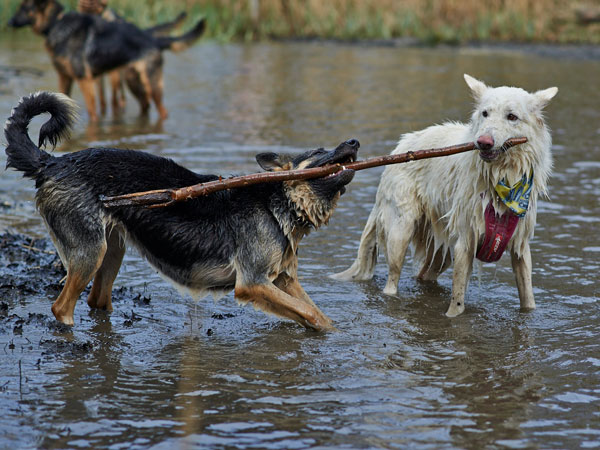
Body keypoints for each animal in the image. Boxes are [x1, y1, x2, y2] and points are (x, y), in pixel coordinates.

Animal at [332, 74, 556, 316]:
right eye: (485, 113)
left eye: (512, 117)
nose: (483, 142)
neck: (501, 179)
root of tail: (400, 147)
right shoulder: (465, 243)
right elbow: (457, 301)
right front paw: (452, 317)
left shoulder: (520, 248)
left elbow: (528, 298)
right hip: (400, 233)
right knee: (392, 280)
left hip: (442, 251)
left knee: (424, 275)